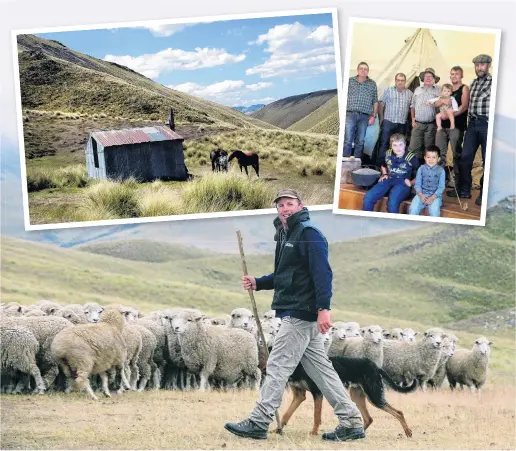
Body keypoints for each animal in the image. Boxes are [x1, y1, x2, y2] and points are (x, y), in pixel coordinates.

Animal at [276, 356, 418, 438]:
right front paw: (278, 429)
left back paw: (408, 432)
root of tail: (376, 366)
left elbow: (316, 416)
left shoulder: (317, 393)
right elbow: (286, 414)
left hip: (374, 397)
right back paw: (357, 433)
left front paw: (314, 433)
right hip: (357, 396)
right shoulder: (299, 395)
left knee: (398, 412)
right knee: (369, 419)